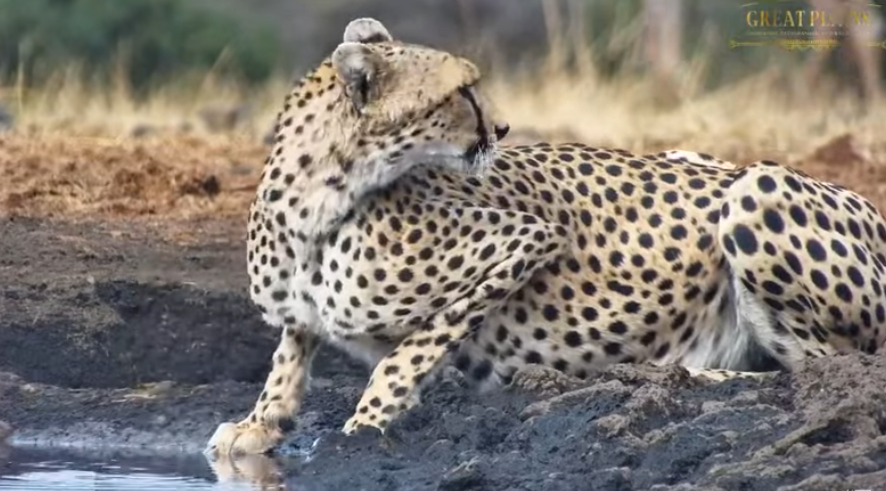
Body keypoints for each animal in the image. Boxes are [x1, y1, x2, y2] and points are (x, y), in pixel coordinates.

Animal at [205, 17, 886, 458]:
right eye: (461, 92)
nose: (505, 128)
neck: (320, 199)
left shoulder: (525, 238)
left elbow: (412, 348)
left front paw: (367, 422)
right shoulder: (301, 308)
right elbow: (290, 353)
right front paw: (258, 424)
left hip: (755, 188)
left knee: (829, 367)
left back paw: (676, 375)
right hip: (701, 159)